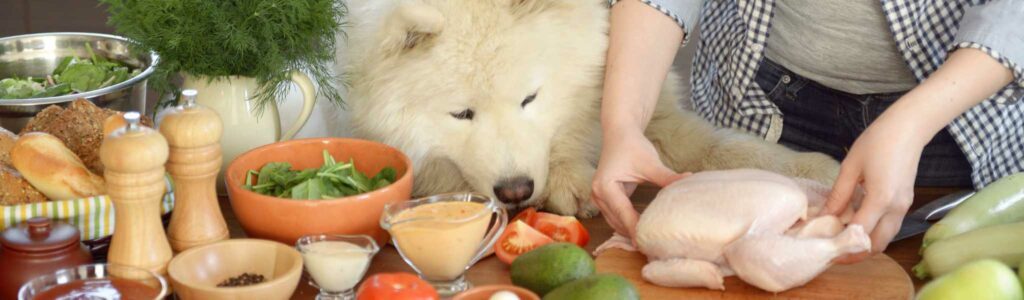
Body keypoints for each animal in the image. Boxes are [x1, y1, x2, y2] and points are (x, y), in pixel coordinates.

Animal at [339, 0, 835, 216]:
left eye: (530, 98)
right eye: (462, 115)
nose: (516, 190)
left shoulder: (652, 116)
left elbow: (723, 149)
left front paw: (819, 172)